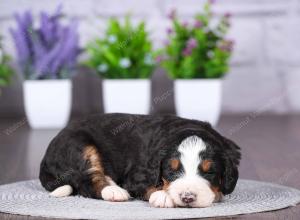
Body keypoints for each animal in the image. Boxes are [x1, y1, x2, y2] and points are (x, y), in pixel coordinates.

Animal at [39, 113, 241, 208]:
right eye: (172, 171)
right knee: (87, 180)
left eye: (210, 172)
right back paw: (114, 191)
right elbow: (150, 185)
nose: (187, 197)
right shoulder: (137, 174)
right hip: (78, 146)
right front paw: (163, 196)